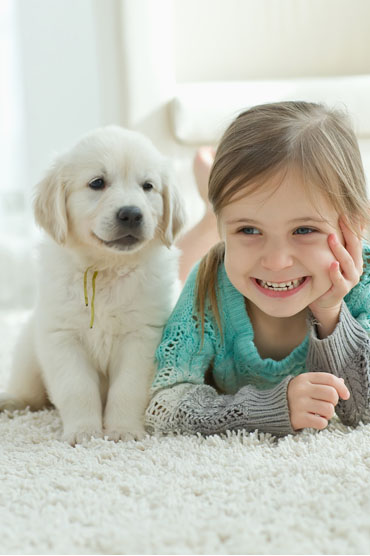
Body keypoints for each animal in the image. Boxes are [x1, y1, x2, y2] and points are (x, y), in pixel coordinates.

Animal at [0, 125, 185, 444]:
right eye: (97, 183)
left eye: (148, 186)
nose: (131, 213)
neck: (106, 268)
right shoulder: (62, 337)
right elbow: (77, 389)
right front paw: (84, 432)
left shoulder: (143, 336)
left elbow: (127, 389)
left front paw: (122, 430)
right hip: (27, 351)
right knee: (29, 391)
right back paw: (10, 402)